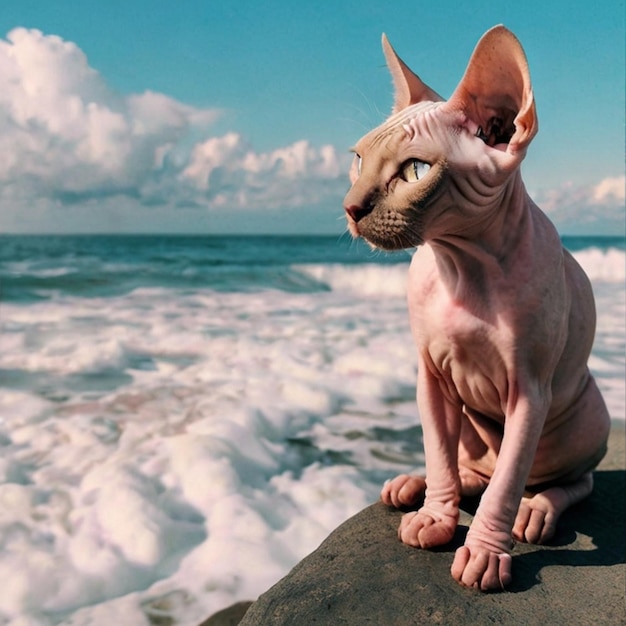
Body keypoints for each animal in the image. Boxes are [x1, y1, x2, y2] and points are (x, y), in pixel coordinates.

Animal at [344, 25, 608, 588]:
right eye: (357, 159)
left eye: (415, 170)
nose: (350, 208)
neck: (463, 265)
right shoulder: (431, 376)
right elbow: (440, 455)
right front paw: (436, 517)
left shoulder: (529, 391)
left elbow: (505, 485)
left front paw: (485, 551)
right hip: (471, 424)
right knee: (471, 467)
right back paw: (413, 485)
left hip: (585, 414)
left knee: (569, 480)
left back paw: (538, 510)